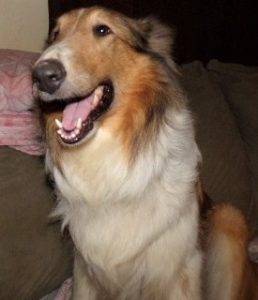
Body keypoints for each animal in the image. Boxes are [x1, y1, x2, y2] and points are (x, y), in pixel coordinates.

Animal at [32, 5, 258, 298]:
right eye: (55, 34)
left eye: (102, 29)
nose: (41, 76)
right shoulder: (85, 271)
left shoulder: (178, 271)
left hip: (229, 219)